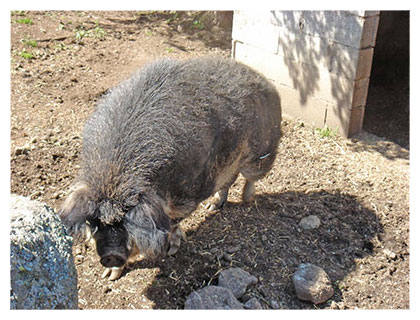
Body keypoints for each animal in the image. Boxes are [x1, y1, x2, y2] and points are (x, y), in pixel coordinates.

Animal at [59, 55, 280, 280]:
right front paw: (109, 277)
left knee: (251, 176)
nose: (111, 256)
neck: (116, 174)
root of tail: (265, 82)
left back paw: (247, 198)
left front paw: (172, 250)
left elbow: (173, 222)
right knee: (229, 180)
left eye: (129, 223)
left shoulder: (187, 196)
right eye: (97, 223)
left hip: (262, 150)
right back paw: (212, 206)